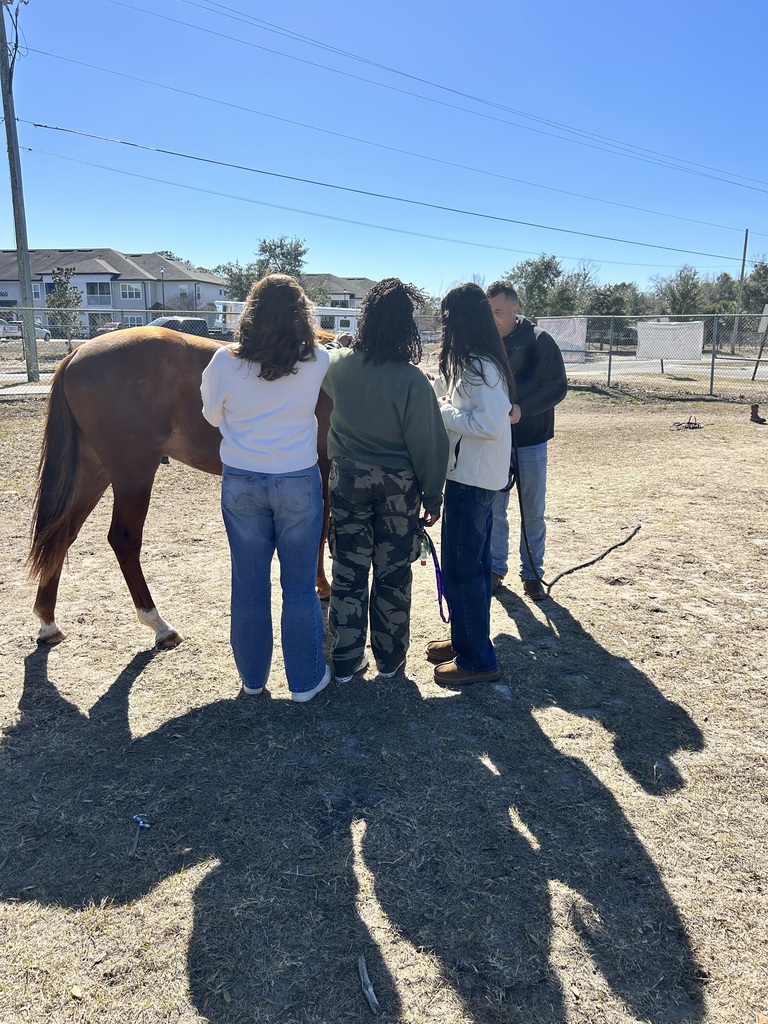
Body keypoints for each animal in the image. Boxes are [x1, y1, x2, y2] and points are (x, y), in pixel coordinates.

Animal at [28, 326, 334, 648]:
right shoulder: (321, 470)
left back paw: (48, 622)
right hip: (133, 474)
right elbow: (320, 531)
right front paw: (322, 586)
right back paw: (159, 624)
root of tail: (77, 354)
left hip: (93, 472)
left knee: (61, 536)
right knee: (123, 540)